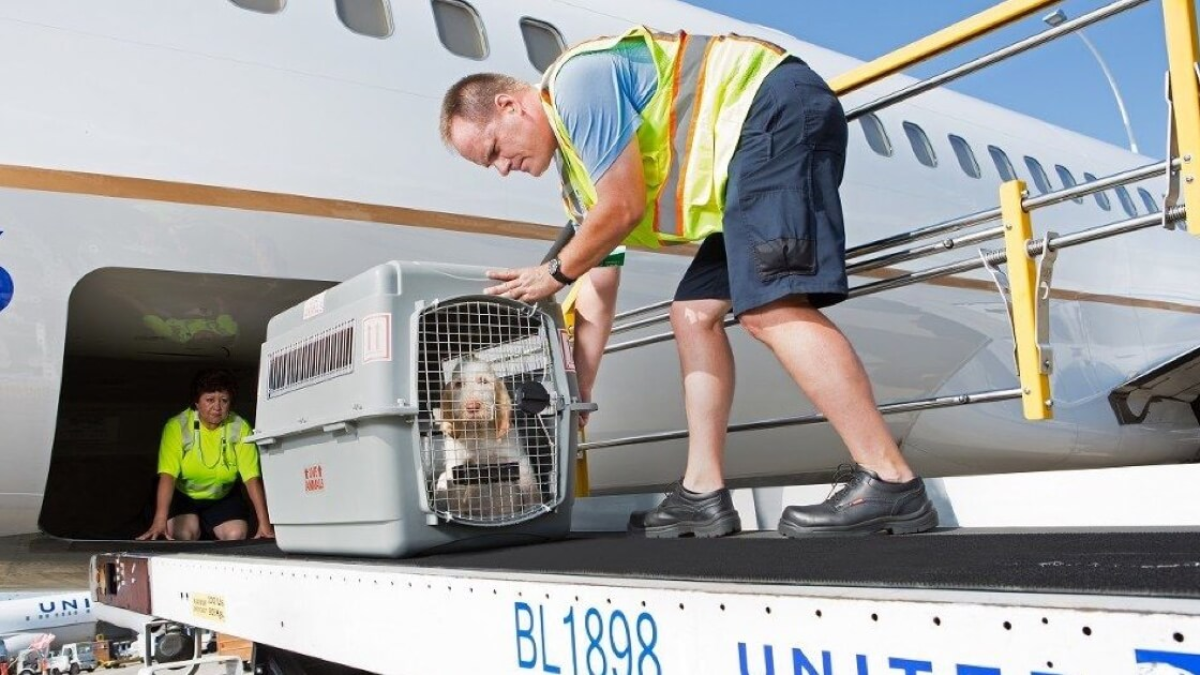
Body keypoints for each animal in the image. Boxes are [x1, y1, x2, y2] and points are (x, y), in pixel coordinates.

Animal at [417, 296, 556, 523]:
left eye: (484, 381)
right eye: (458, 384)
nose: (472, 406)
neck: (479, 434)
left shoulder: (518, 463)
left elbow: (530, 490)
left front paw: (536, 508)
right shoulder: (458, 468)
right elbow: (455, 487)